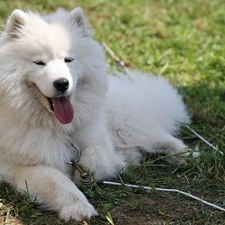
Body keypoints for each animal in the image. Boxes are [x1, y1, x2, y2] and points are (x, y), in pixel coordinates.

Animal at [0, 7, 190, 221]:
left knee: (162, 138)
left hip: (124, 127)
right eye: (39, 62)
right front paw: (78, 207)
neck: (60, 128)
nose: (62, 83)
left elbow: (94, 154)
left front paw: (86, 173)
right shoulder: (22, 166)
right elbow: (57, 181)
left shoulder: (100, 140)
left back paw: (187, 155)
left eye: (69, 60)